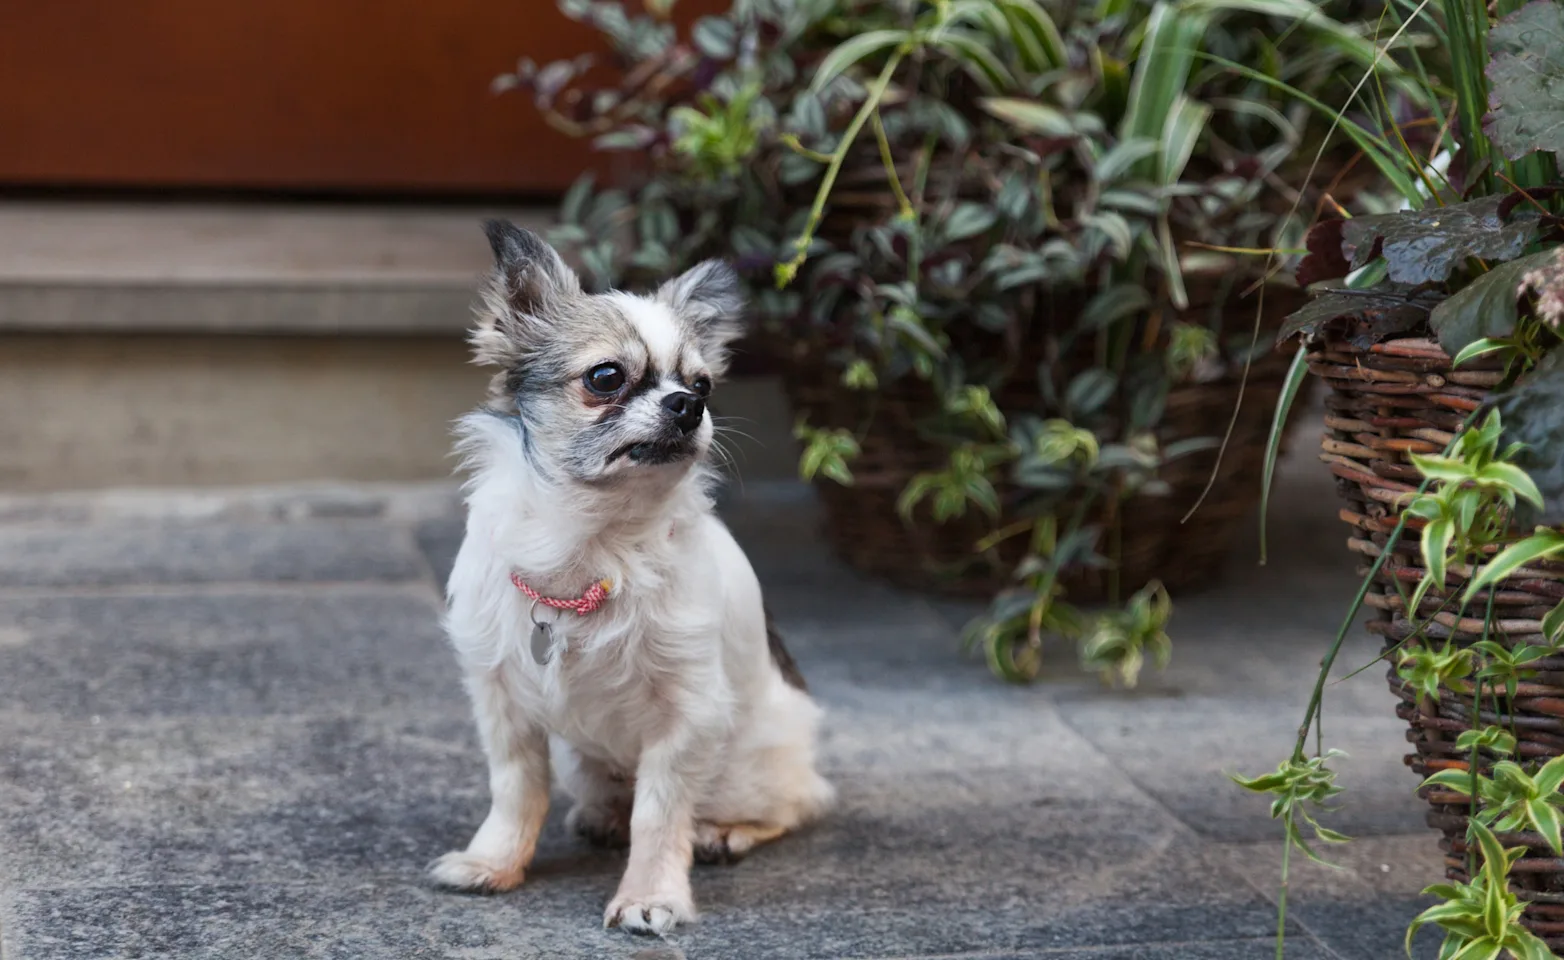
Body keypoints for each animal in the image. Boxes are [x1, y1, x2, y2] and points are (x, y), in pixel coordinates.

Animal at [428, 222, 838, 938]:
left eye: (704, 384)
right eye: (606, 377)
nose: (688, 405)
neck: (594, 542)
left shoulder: (686, 719)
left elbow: (660, 815)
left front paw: (652, 896)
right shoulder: (503, 701)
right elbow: (516, 789)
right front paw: (494, 862)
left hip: (747, 766)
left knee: (794, 804)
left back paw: (728, 831)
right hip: (583, 757)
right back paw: (600, 815)